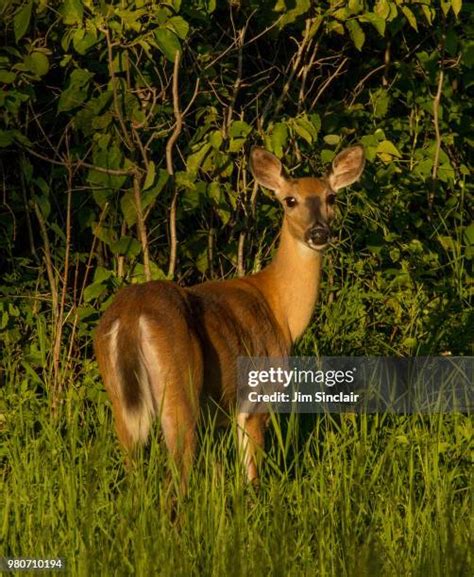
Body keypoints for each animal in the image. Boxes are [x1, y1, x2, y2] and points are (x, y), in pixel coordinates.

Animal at [94, 145, 364, 490]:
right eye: (290, 200)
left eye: (331, 197)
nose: (318, 232)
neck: (280, 308)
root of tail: (131, 313)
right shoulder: (258, 397)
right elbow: (252, 474)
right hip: (180, 385)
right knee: (176, 474)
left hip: (119, 398)